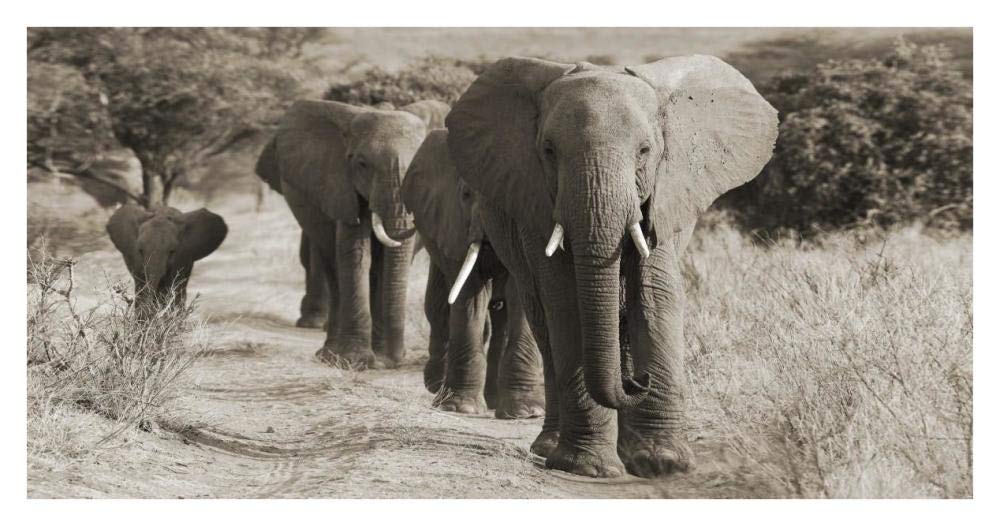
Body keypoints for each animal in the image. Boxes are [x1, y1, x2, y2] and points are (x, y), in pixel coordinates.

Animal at [256, 98, 450, 369]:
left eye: (418, 168)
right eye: (362, 165)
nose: (394, 360)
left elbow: (389, 263)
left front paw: (380, 360)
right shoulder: (342, 186)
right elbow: (356, 255)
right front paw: (355, 361)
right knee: (334, 267)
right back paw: (329, 355)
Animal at [402, 129, 545, 418]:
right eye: (466, 195)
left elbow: (520, 295)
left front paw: (527, 412)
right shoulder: (453, 223)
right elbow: (469, 295)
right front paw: (460, 408)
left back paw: (494, 401)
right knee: (438, 306)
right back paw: (440, 388)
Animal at [445, 55, 777, 478]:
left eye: (645, 151)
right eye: (549, 151)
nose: (639, 381)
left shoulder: (664, 196)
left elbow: (654, 294)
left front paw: (662, 463)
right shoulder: (535, 202)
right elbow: (566, 301)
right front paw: (588, 468)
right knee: (544, 323)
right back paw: (551, 448)